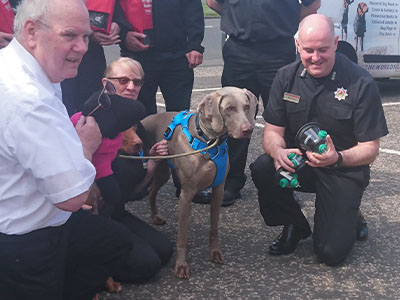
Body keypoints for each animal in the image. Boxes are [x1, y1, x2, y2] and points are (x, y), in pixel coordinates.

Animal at [142, 86, 258, 278]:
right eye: (229, 109)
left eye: (247, 106)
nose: (248, 130)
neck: (209, 142)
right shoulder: (186, 195)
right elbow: (182, 236)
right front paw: (181, 265)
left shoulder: (218, 190)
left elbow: (214, 228)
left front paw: (215, 253)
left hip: (163, 170)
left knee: (152, 191)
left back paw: (155, 217)